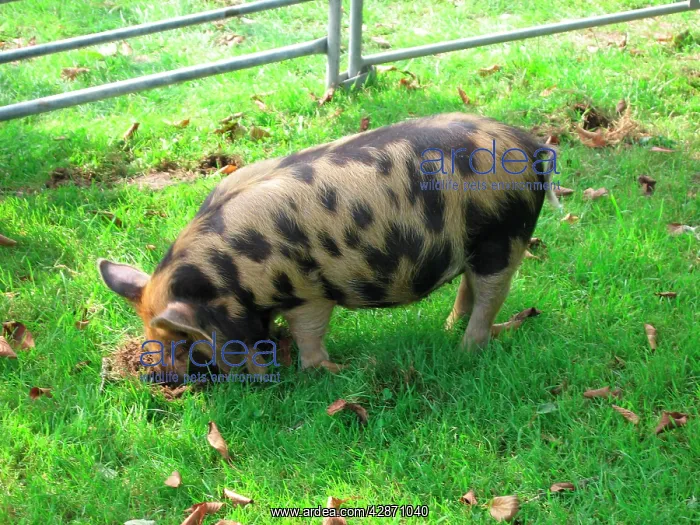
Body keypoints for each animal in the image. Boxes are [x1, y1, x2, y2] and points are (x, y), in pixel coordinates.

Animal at [98, 112, 559, 378]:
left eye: (183, 342)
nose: (158, 377)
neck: (229, 275)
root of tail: (531, 145)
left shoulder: (308, 294)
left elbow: (309, 334)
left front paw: (328, 370)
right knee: (468, 286)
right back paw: (449, 329)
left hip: (505, 235)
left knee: (491, 294)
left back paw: (464, 351)